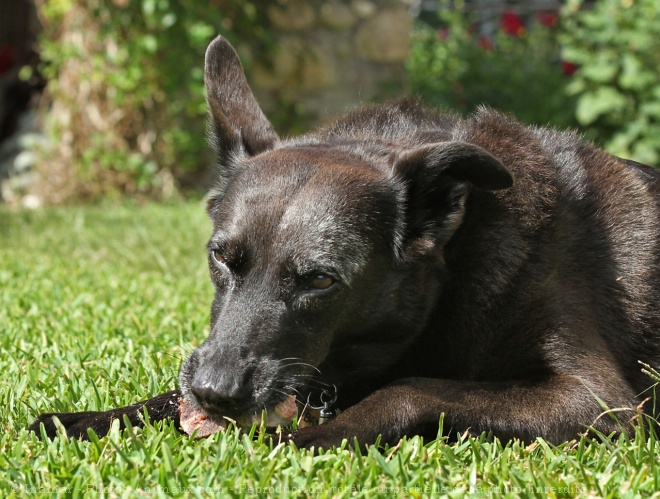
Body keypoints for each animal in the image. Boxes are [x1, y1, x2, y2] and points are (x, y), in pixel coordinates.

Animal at [29, 35, 660, 450]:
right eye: (221, 258)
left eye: (320, 279)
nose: (215, 394)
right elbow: (167, 393)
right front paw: (92, 418)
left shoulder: (598, 400)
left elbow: (408, 389)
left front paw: (309, 438)